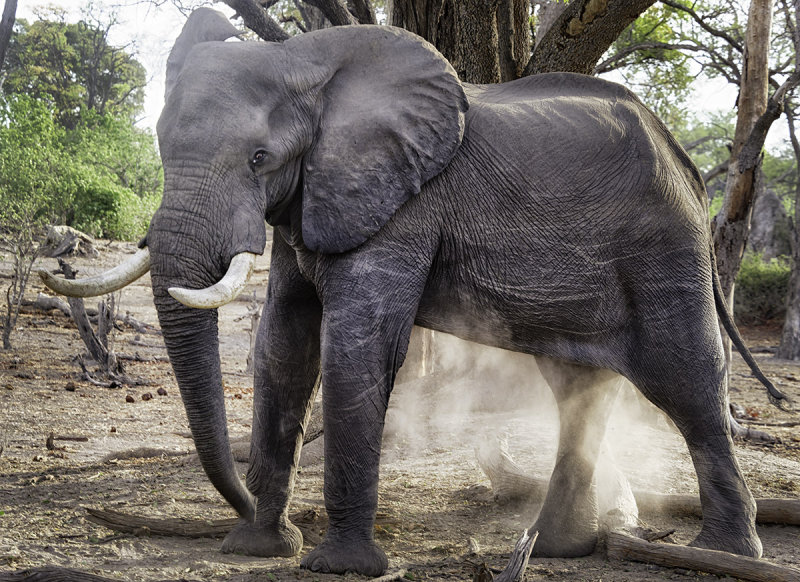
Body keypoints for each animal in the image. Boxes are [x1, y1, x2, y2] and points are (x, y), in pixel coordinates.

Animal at [40, 8, 792, 580]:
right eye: (161, 146)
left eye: (259, 159)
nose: (250, 513)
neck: (303, 62)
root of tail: (687, 163)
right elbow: (282, 346)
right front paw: (258, 548)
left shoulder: (402, 203)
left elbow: (354, 346)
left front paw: (338, 566)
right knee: (577, 386)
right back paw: (557, 548)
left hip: (663, 247)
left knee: (686, 382)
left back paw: (724, 554)